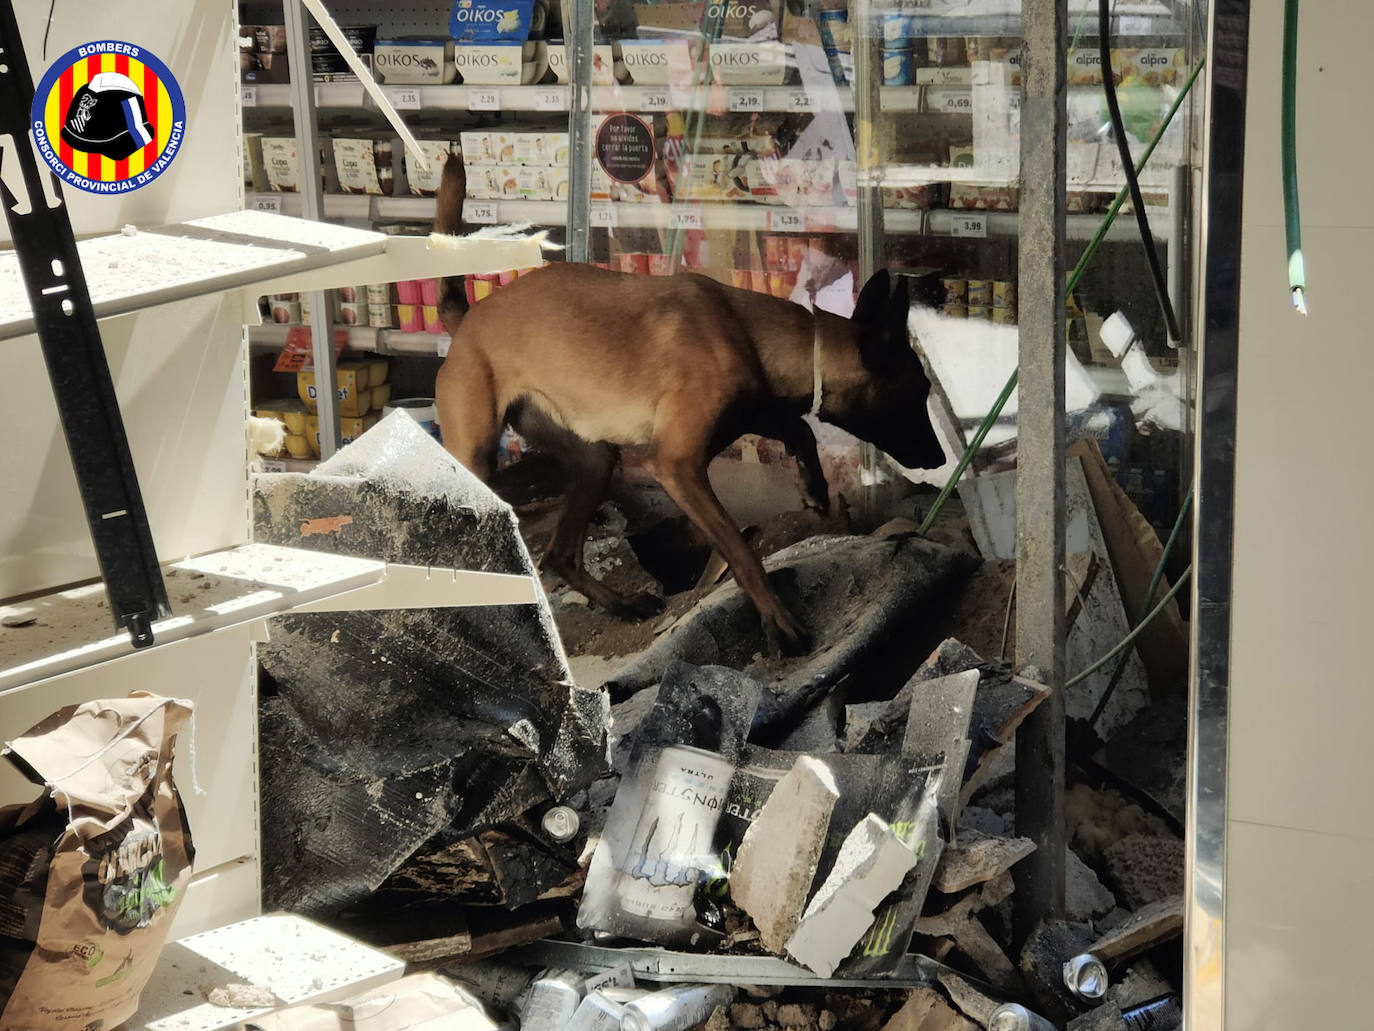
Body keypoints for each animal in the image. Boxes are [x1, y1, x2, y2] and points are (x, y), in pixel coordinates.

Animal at [431, 156, 945, 648]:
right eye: (917, 392)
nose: (941, 460)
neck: (745, 330)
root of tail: (468, 319)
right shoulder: (678, 466)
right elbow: (740, 547)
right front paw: (778, 621)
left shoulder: (744, 416)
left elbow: (796, 427)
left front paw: (814, 486)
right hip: (477, 460)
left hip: (596, 459)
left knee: (559, 554)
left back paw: (621, 605)